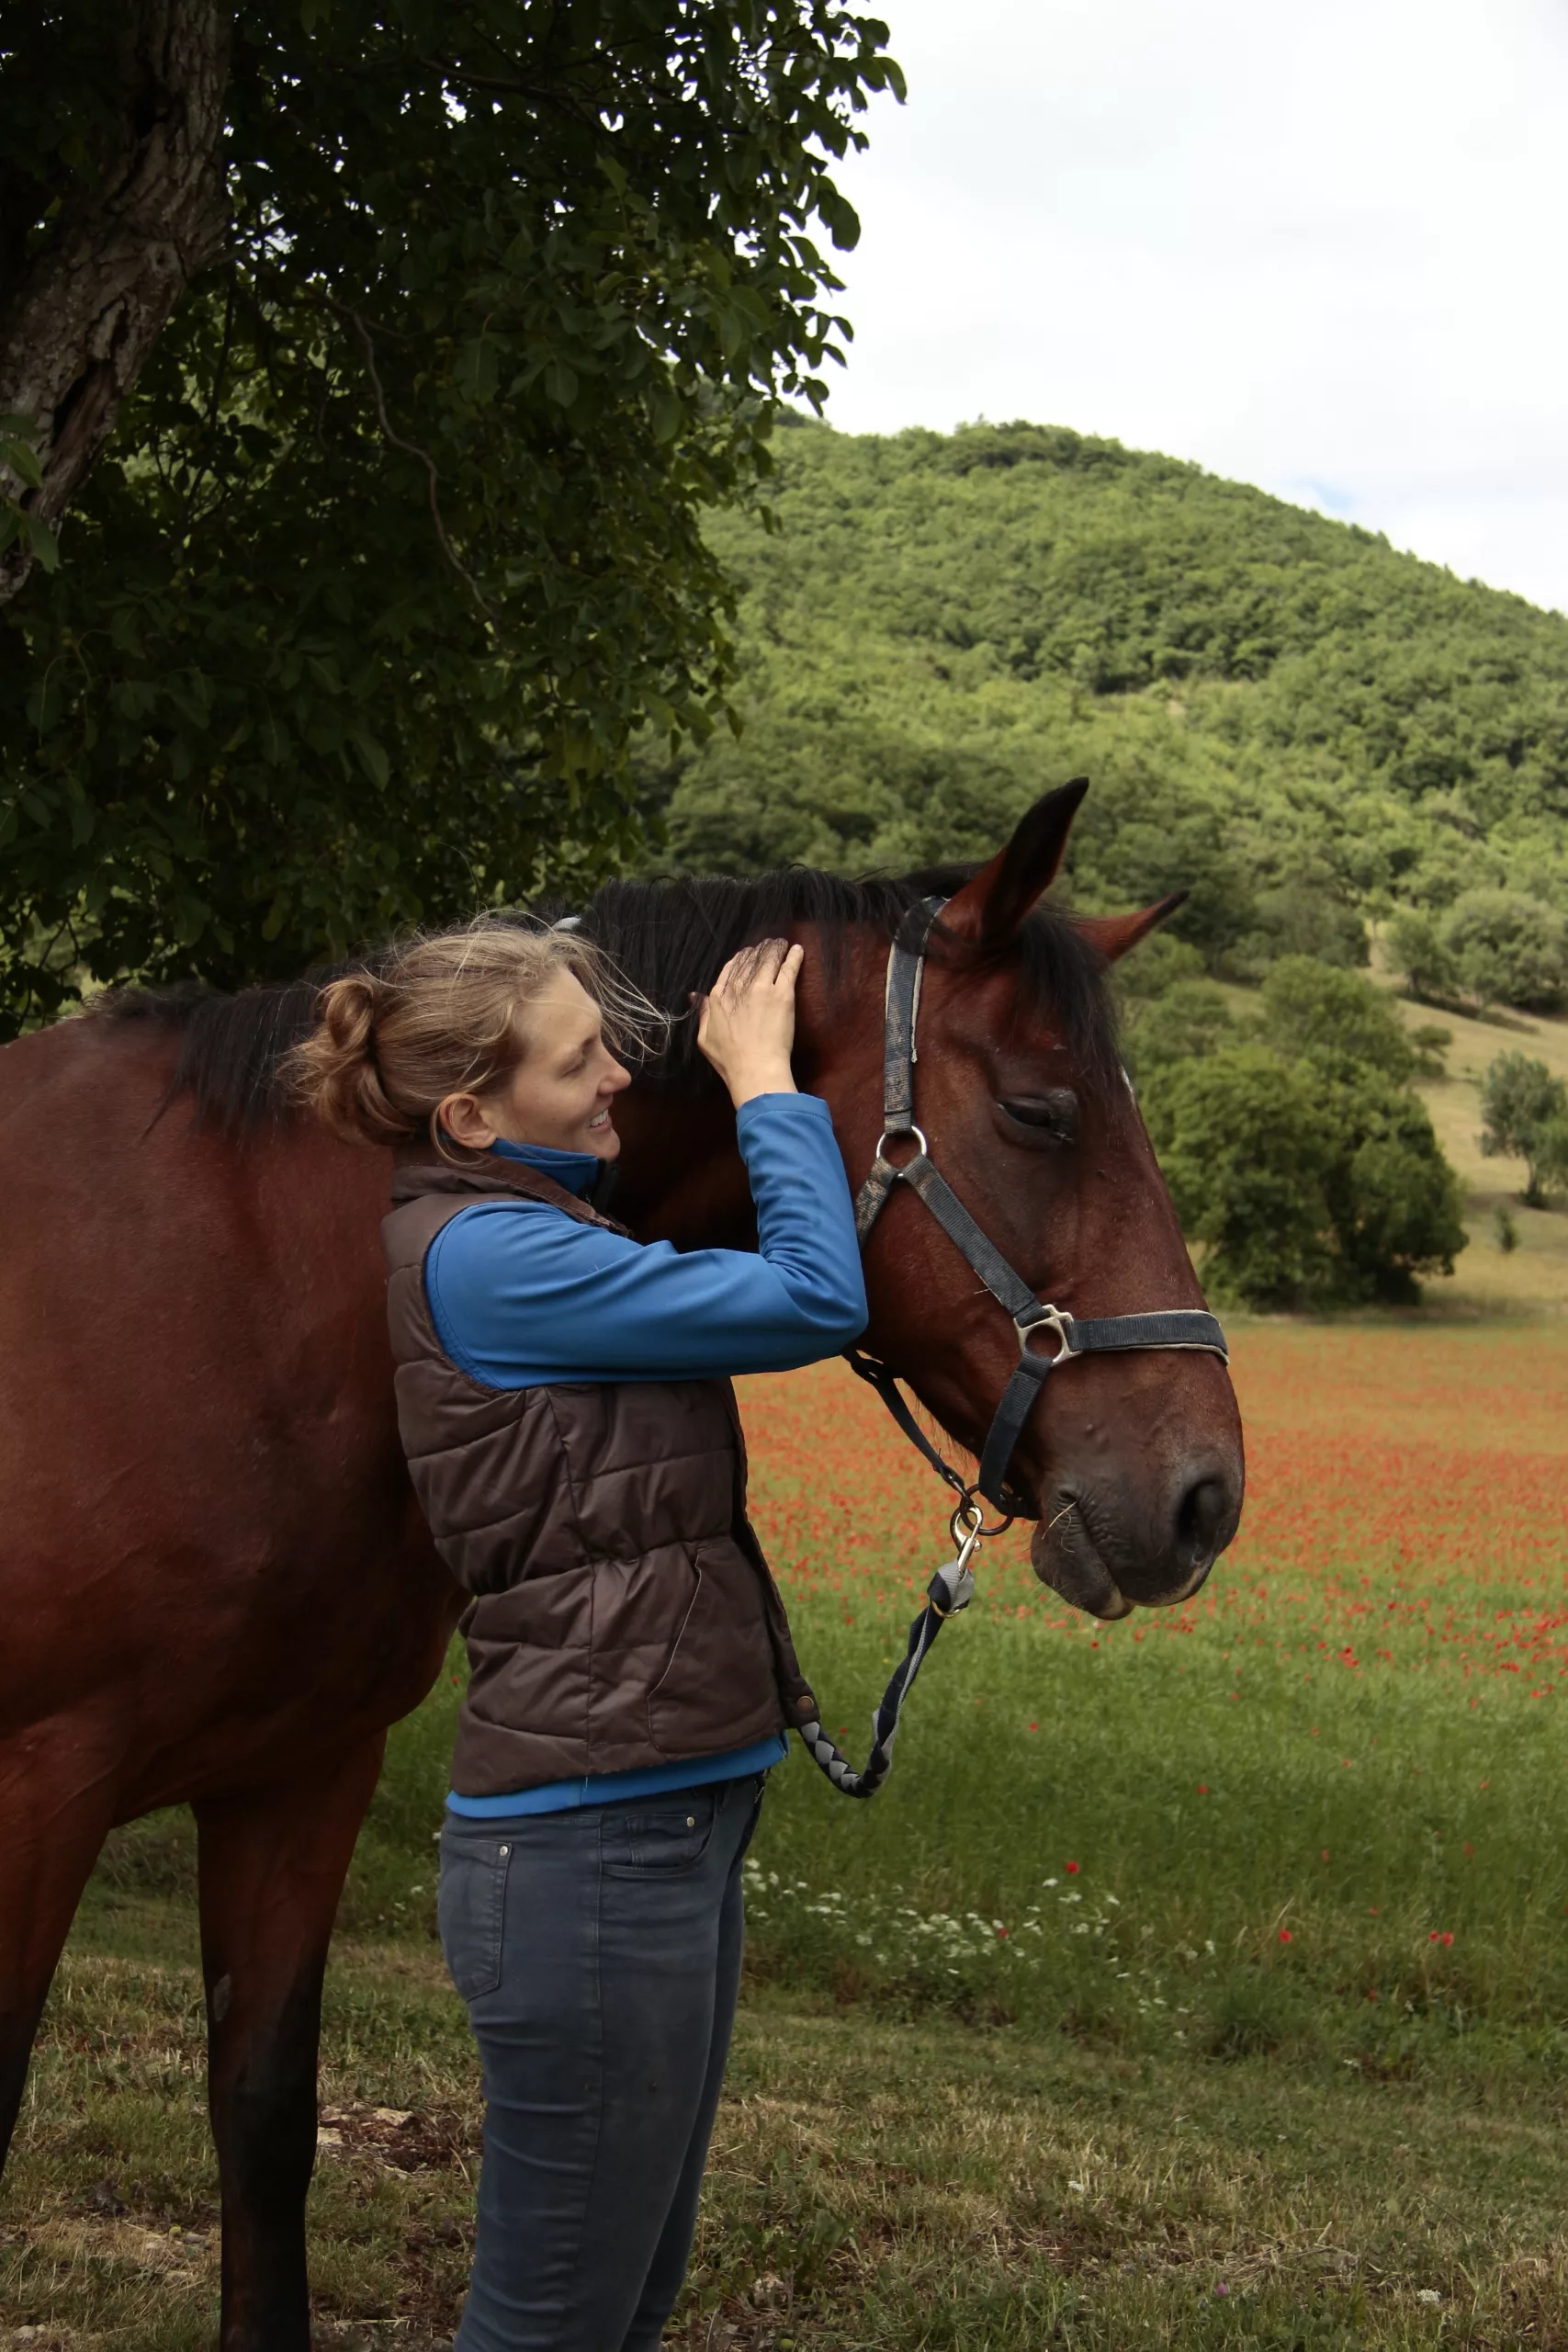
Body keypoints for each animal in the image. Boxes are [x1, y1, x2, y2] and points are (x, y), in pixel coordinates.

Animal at [0, 782, 1243, 2350]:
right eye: (1038, 1110)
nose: (1202, 1496)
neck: (243, 1289)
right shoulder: (35, 1791)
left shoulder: (298, 1776)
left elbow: (267, 2115)